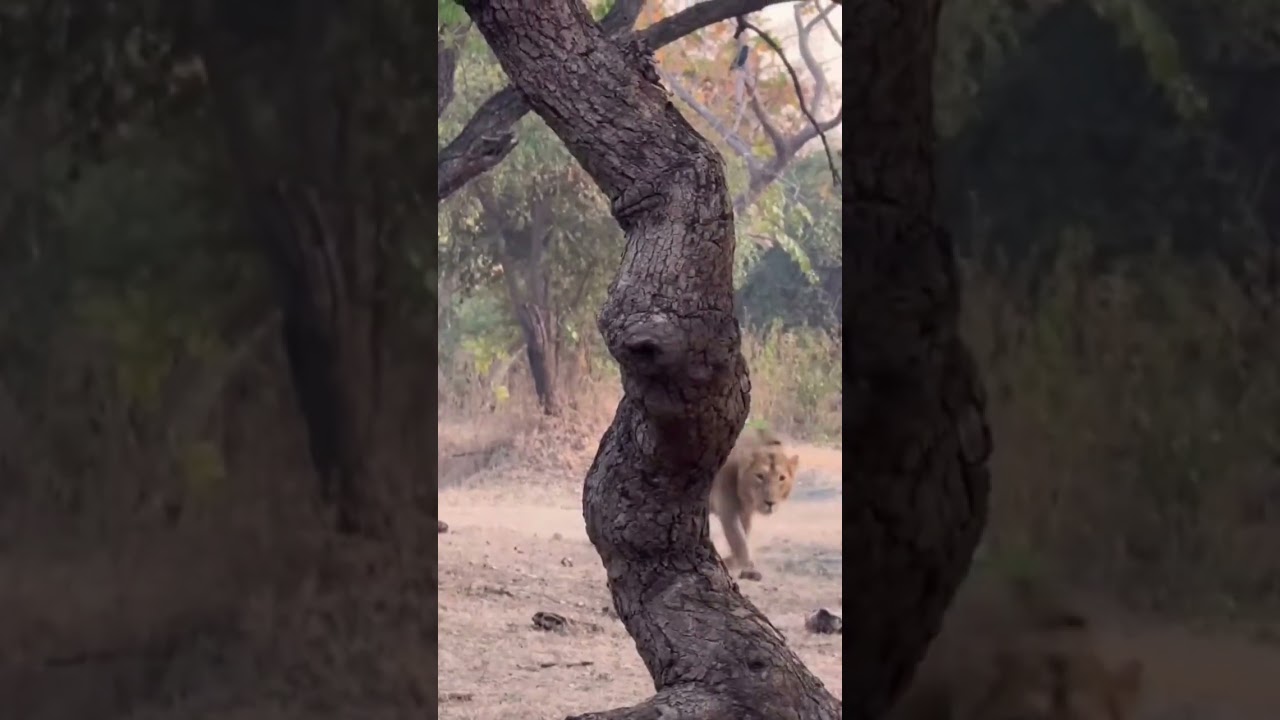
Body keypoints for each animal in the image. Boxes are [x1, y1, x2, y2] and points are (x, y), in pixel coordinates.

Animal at [707, 426, 800, 581]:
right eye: (759, 476)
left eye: (781, 478)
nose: (770, 503)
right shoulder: (728, 512)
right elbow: (739, 540)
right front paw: (745, 567)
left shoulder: (746, 513)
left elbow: (744, 535)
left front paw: (734, 562)